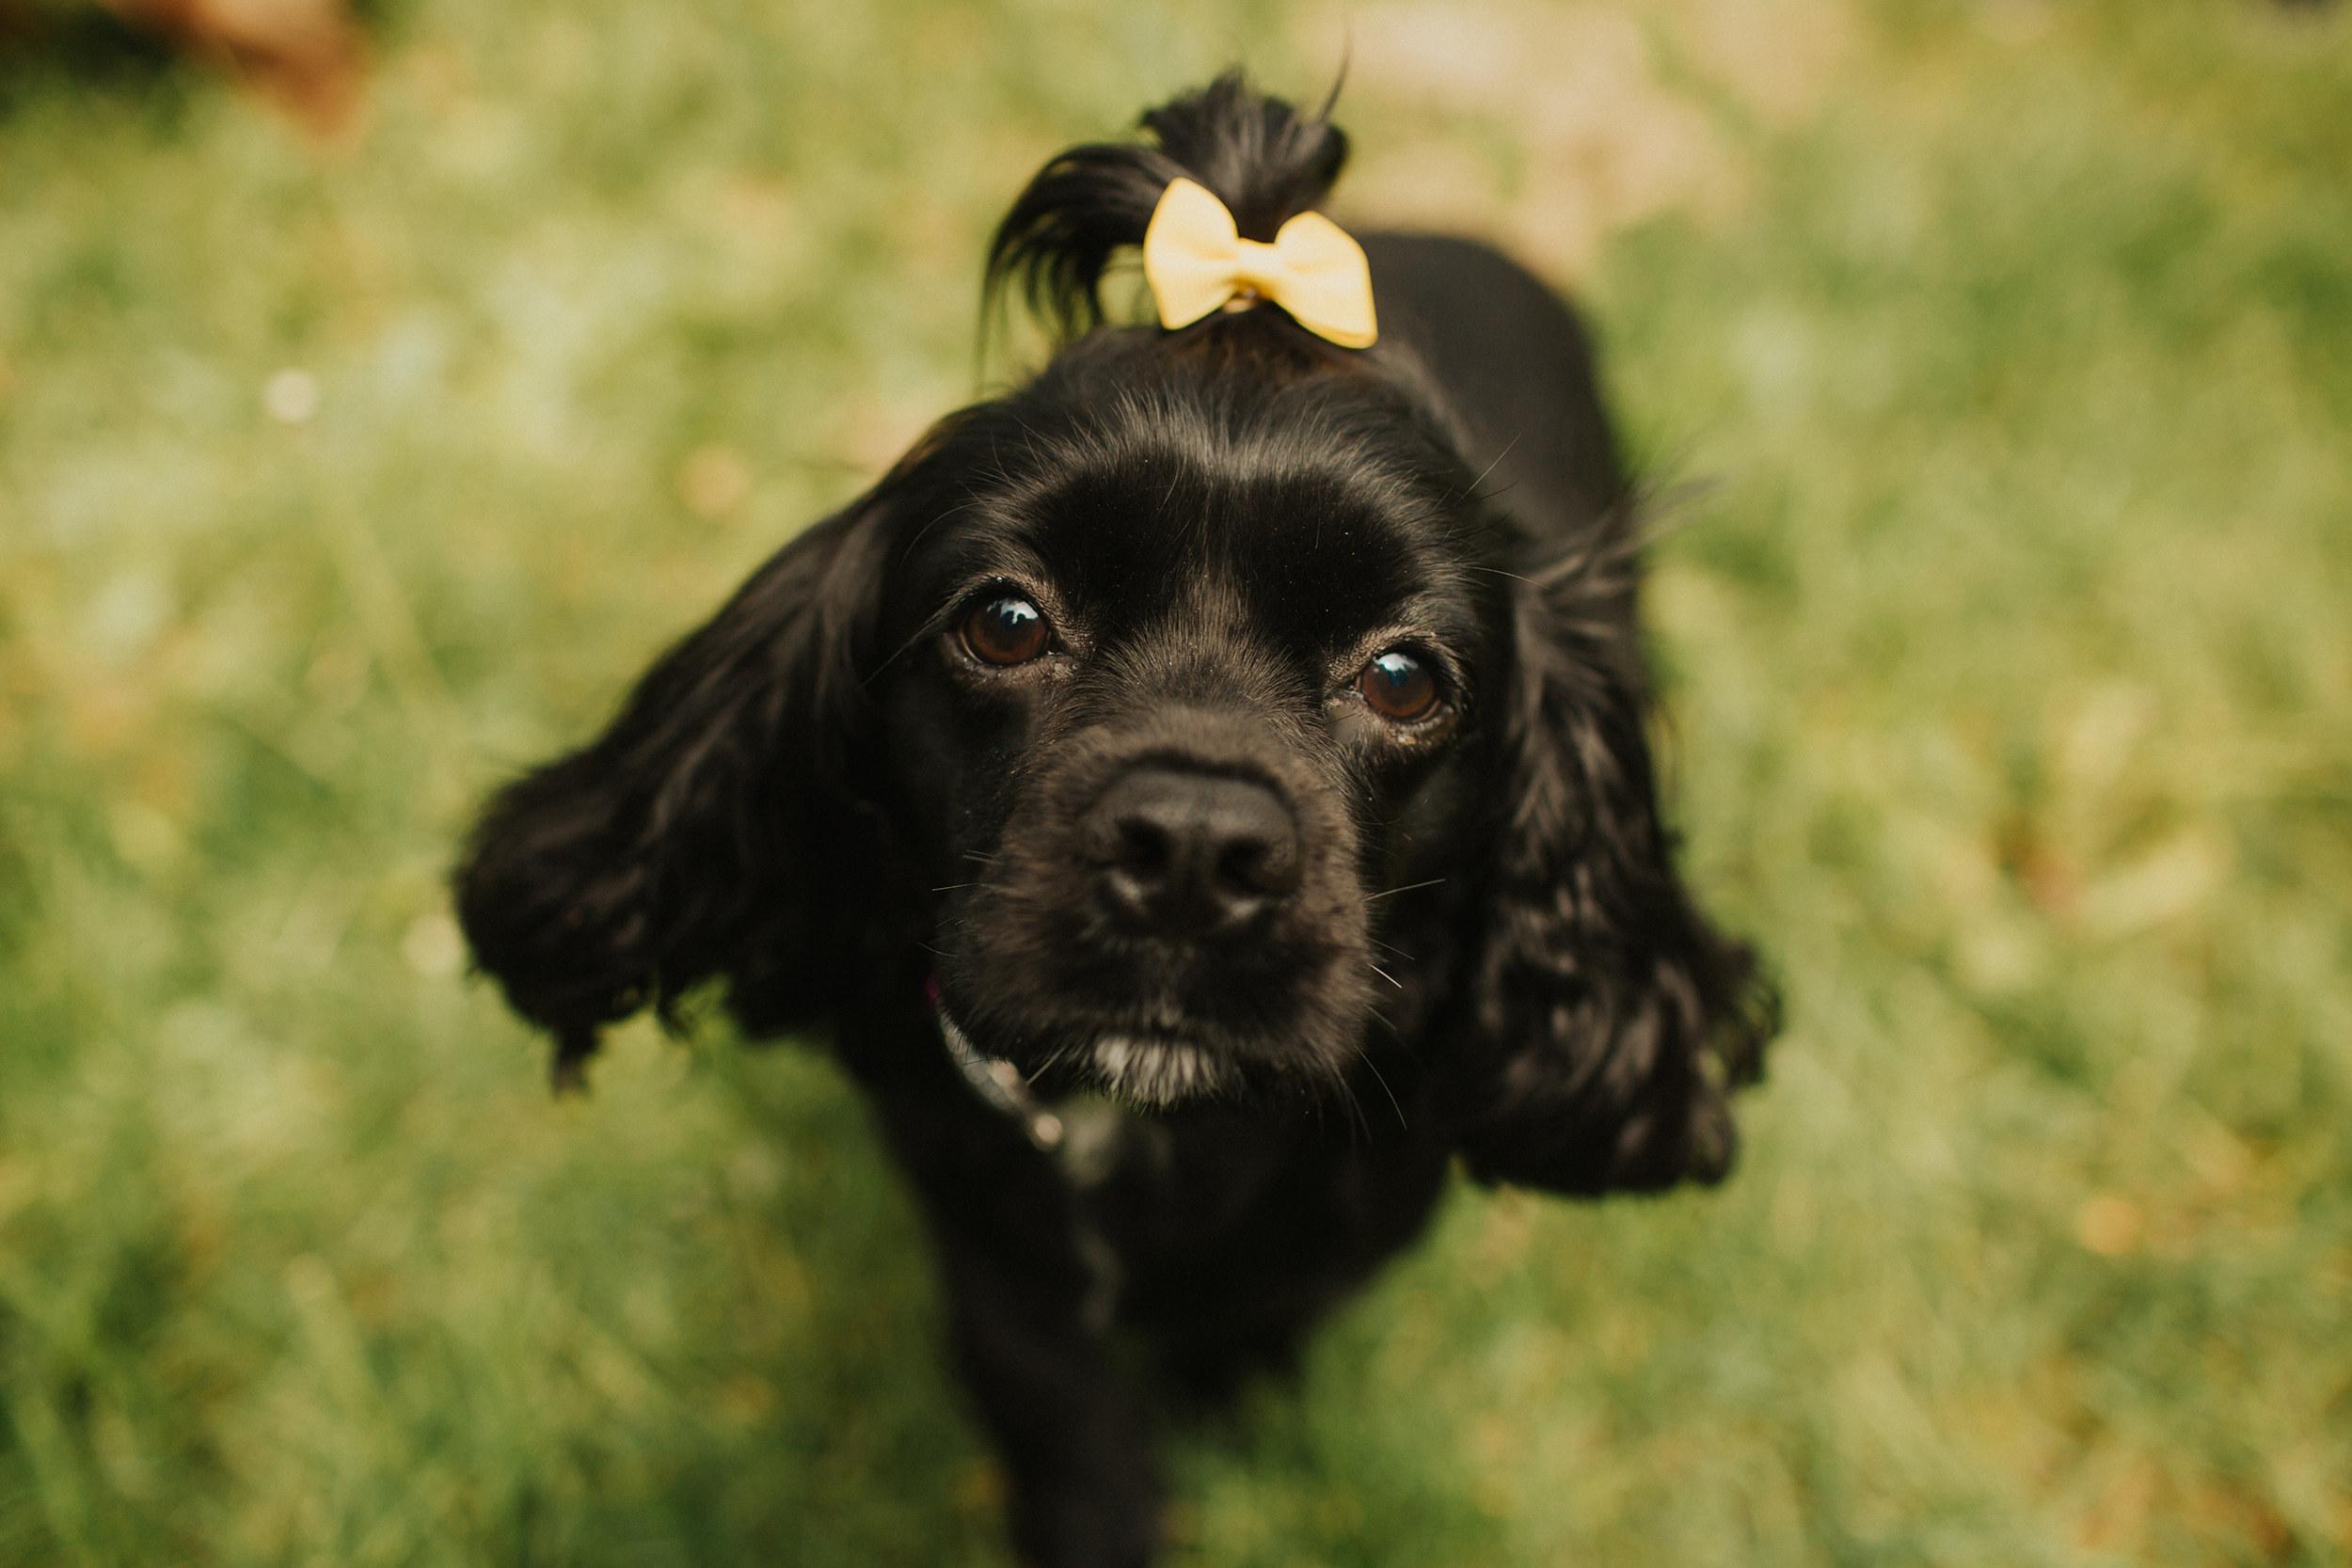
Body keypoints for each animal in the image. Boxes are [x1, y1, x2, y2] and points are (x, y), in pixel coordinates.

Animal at [455, 73, 1774, 1568]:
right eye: (1005, 620)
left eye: (1403, 675)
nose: (1194, 846)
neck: (1139, 1123)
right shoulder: (987, 1247)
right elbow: (1056, 1411)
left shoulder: (1352, 1217)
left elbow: (1259, 1310)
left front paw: (1224, 1407)